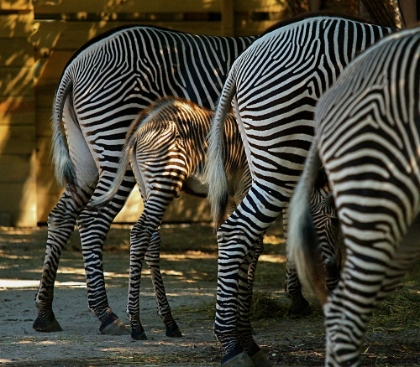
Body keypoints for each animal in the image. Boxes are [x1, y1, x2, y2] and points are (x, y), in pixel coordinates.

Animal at [89, 96, 253, 340]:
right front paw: (243, 321)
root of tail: (144, 123)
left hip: (146, 186)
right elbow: (252, 246)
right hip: (164, 180)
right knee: (140, 233)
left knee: (150, 239)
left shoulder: (233, 196)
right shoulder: (246, 187)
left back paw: (169, 323)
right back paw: (136, 325)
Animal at [205, 14, 396, 367]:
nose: (333, 276)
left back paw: (248, 342)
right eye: (331, 220)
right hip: (285, 149)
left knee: (251, 239)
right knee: (238, 231)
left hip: (265, 158)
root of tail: (239, 62)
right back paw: (232, 346)